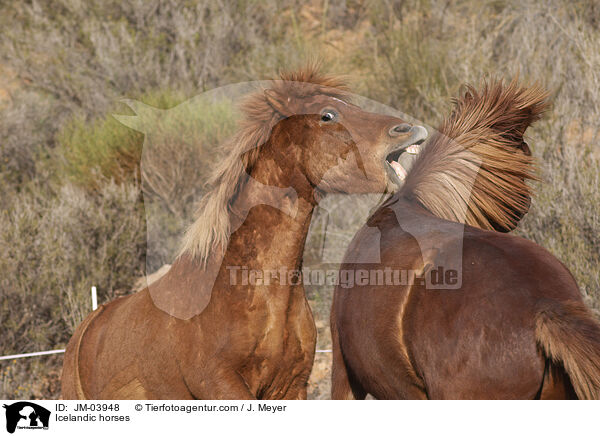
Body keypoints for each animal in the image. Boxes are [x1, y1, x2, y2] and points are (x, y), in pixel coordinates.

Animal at [61, 66, 428, 400]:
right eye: (328, 114)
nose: (410, 130)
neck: (238, 288)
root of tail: (86, 329)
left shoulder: (291, 388)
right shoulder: (223, 386)